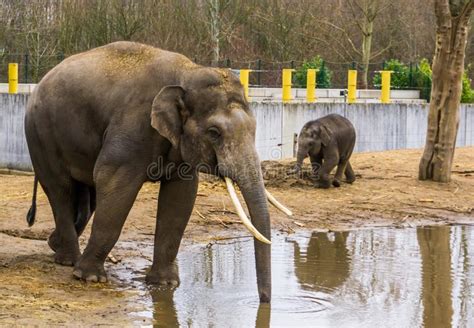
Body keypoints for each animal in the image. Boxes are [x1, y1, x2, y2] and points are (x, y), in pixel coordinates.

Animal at [25, 41, 288, 302]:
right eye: (214, 132)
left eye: (254, 128)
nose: (264, 300)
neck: (188, 72)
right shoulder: (133, 126)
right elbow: (113, 181)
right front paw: (90, 278)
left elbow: (180, 197)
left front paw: (164, 283)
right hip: (40, 135)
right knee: (61, 189)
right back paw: (68, 261)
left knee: (86, 199)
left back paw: (55, 245)